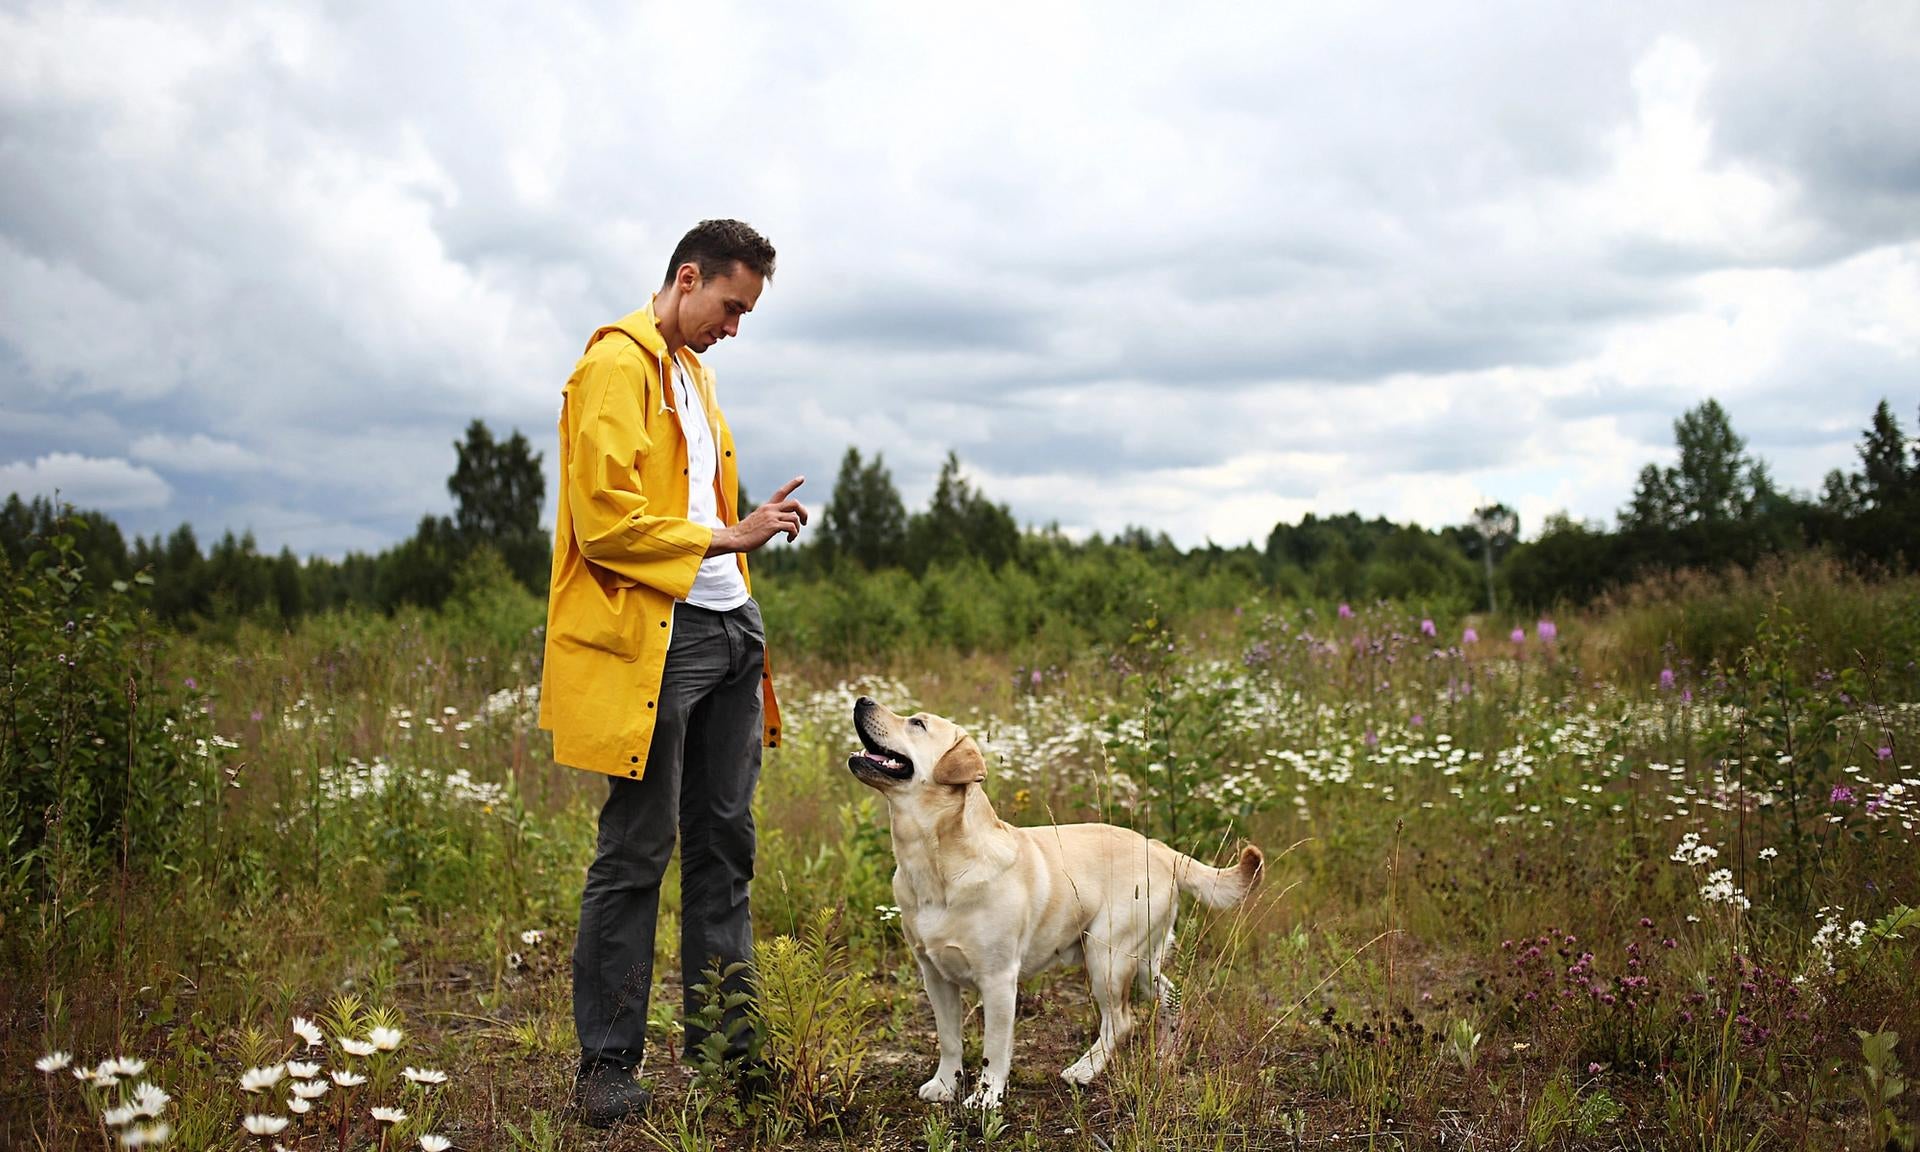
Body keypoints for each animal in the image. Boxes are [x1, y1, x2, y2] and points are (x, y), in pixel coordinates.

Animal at [852, 691, 1267, 1105]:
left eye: (917, 723)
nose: (861, 700)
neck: (933, 861)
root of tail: (1161, 848)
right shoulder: (934, 974)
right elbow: (949, 1038)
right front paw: (944, 1085)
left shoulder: (999, 979)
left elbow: (993, 1048)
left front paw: (986, 1098)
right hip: (1140, 959)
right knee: (1171, 995)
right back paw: (1166, 1056)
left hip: (1107, 956)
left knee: (1121, 1020)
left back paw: (1083, 1071)